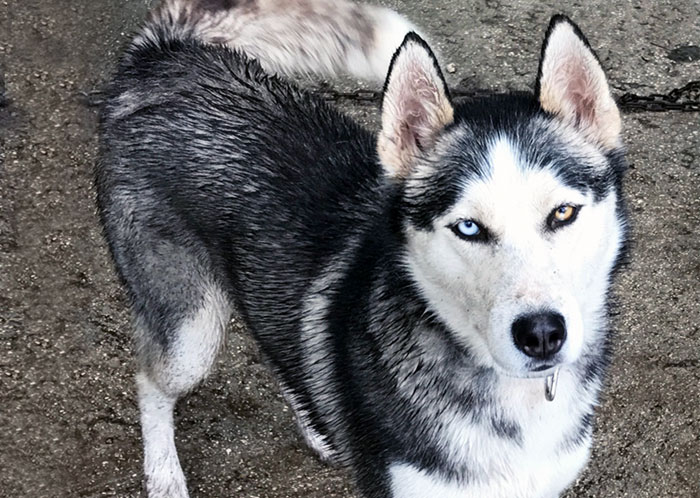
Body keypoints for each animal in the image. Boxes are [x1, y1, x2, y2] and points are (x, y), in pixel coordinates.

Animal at [95, 0, 628, 494]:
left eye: (563, 213)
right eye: (469, 227)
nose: (541, 333)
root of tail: (166, 57)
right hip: (190, 329)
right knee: (151, 379)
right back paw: (164, 474)